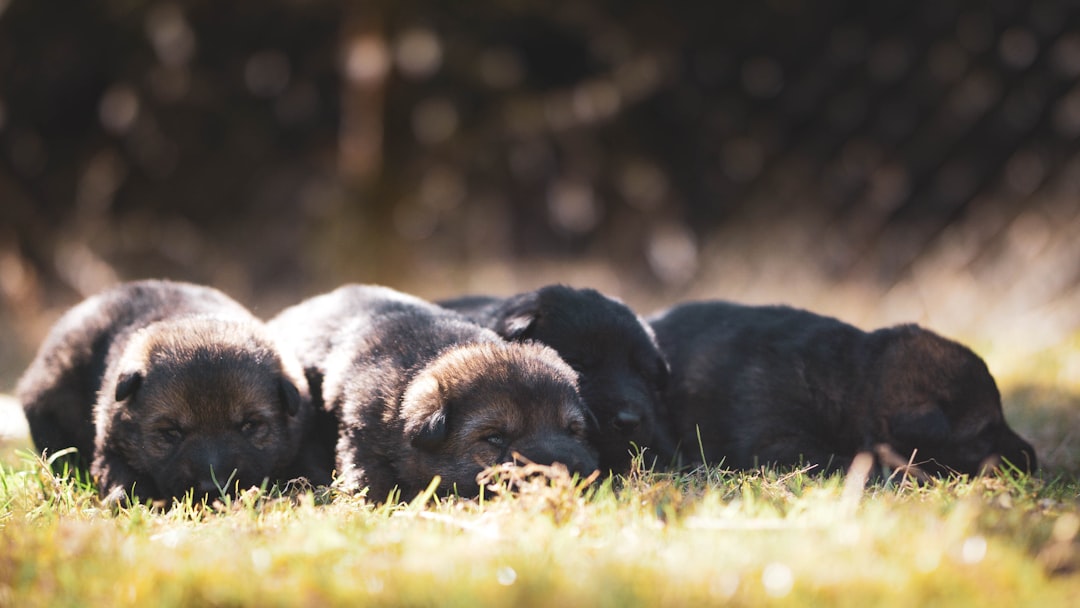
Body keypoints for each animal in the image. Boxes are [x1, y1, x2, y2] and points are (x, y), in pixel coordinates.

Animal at [16, 280, 315, 505]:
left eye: (250, 425)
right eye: (171, 432)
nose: (211, 487)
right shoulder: (110, 444)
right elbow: (120, 474)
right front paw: (124, 498)